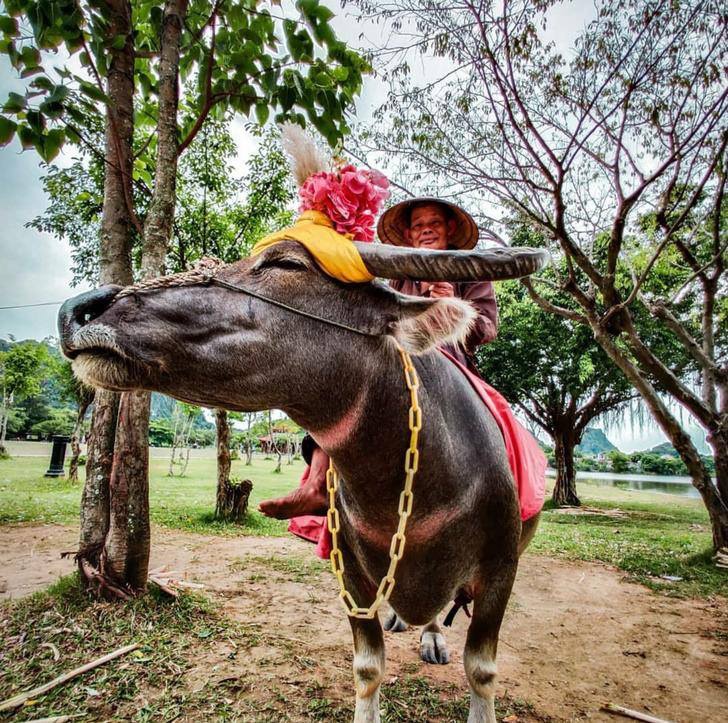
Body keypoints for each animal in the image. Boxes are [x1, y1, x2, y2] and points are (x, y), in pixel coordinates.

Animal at [58, 240, 544, 720]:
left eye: (287, 263)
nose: (80, 309)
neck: (416, 489)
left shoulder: (501, 571)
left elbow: (480, 670)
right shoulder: (351, 574)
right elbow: (368, 667)